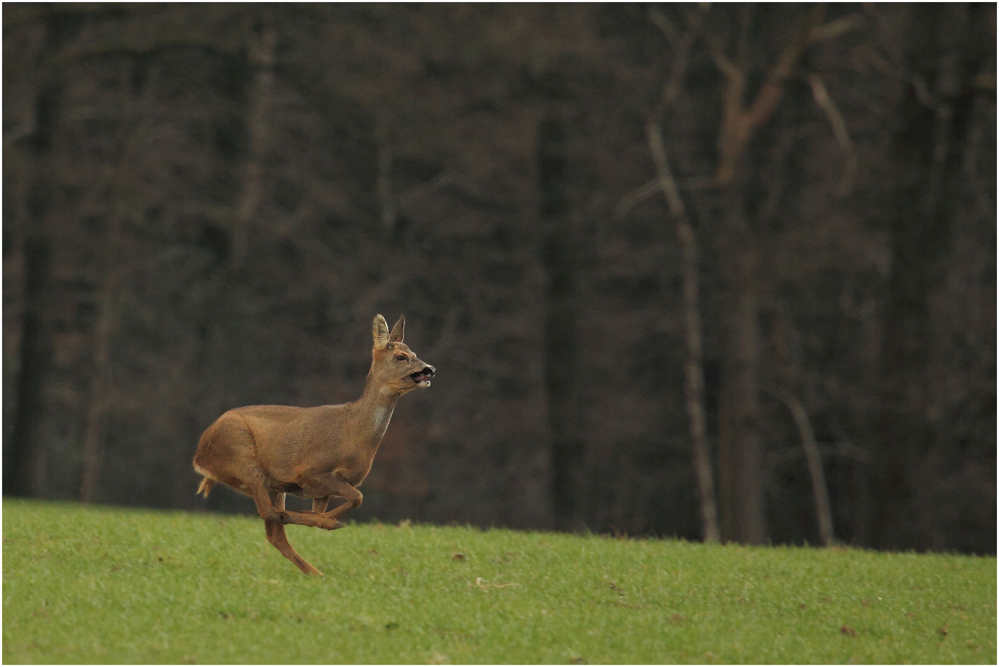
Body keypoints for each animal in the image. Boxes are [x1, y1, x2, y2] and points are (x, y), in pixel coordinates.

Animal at [191, 316, 434, 576]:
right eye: (400, 356)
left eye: (414, 352)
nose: (430, 369)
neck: (354, 432)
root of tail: (199, 456)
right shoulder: (314, 471)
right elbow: (357, 497)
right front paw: (329, 521)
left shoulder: (323, 489)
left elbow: (344, 502)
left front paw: (325, 519)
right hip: (242, 460)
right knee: (269, 512)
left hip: (271, 483)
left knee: (275, 532)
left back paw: (316, 573)